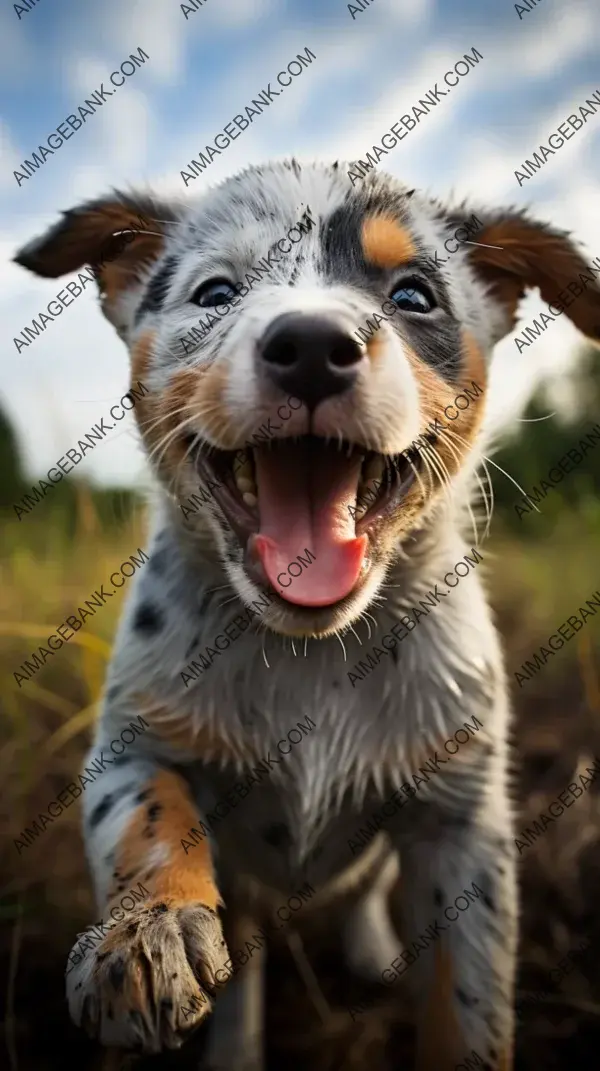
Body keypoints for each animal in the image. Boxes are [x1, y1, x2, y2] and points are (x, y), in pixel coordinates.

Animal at [14, 160, 600, 1071]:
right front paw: (144, 936)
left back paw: (372, 952)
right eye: (216, 291)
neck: (310, 651)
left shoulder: (464, 821)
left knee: (363, 895)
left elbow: (466, 1001)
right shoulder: (129, 740)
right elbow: (148, 812)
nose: (315, 346)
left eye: (414, 294)